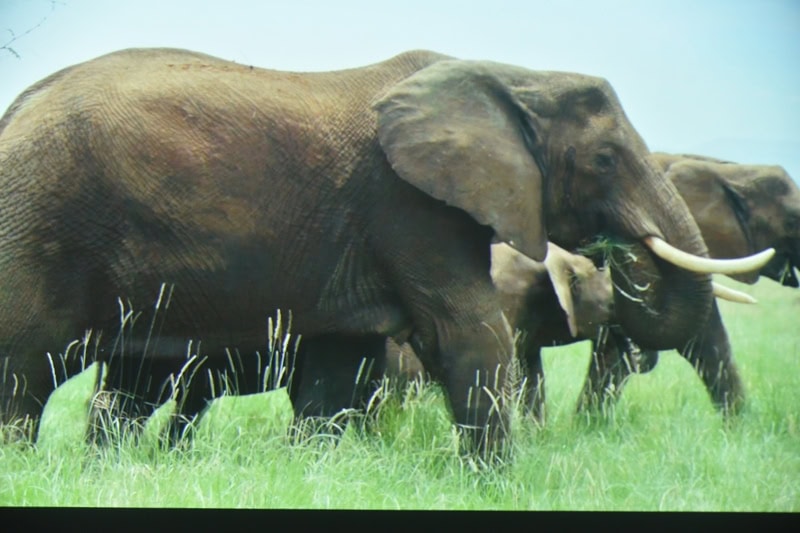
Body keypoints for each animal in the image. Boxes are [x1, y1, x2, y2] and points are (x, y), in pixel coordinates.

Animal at [0, 48, 773, 458]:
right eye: (606, 159)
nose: (619, 249)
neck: (507, 76)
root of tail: (17, 108)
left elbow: (340, 367)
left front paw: (312, 469)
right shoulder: (409, 206)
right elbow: (469, 331)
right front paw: (497, 483)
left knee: (124, 384)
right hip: (37, 221)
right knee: (24, 368)